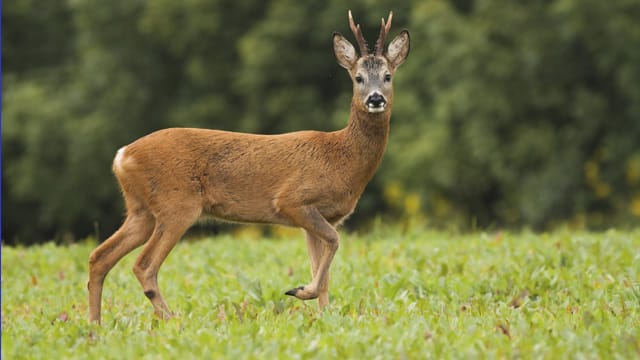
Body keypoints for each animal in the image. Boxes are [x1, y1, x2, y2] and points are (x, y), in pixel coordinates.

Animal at [87, 10, 410, 324]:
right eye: (358, 78)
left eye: (387, 76)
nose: (376, 99)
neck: (342, 159)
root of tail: (122, 156)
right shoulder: (293, 200)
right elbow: (334, 242)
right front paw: (300, 291)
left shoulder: (323, 216)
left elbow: (323, 267)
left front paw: (322, 315)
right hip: (176, 205)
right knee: (143, 265)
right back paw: (173, 320)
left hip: (141, 210)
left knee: (99, 256)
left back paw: (94, 326)